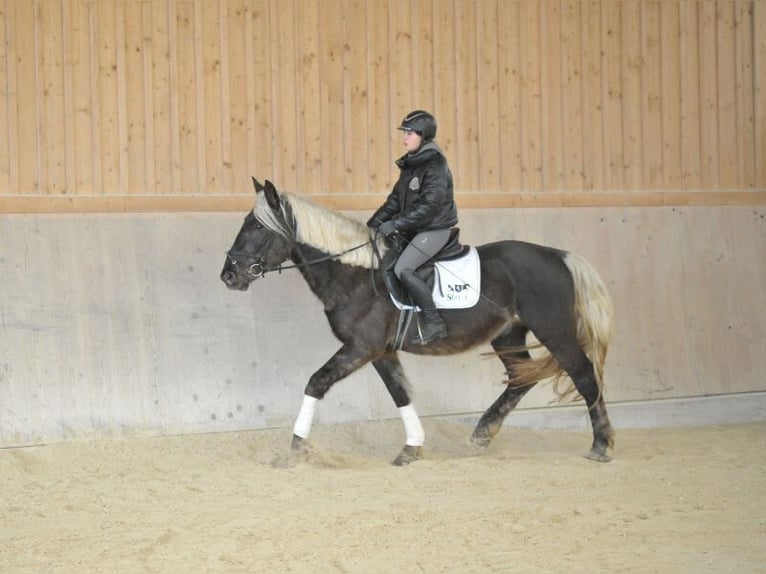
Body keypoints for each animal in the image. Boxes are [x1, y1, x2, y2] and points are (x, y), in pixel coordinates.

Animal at [220, 180, 616, 468]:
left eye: (255, 226)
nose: (229, 275)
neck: (355, 274)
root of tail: (558, 256)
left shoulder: (360, 348)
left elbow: (316, 382)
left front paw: (296, 448)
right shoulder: (380, 351)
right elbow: (401, 393)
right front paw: (411, 448)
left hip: (556, 332)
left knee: (584, 376)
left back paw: (601, 445)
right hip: (508, 336)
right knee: (521, 379)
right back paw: (481, 435)